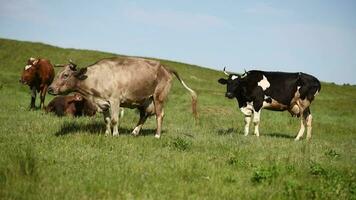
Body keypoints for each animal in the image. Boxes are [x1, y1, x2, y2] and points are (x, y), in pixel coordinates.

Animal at [46, 56, 197, 138]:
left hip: (158, 97)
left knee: (159, 115)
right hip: (145, 100)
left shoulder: (115, 100)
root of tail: (165, 67)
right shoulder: (103, 103)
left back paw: (157, 135)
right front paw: (107, 134)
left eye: (65, 75)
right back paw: (134, 132)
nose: (50, 89)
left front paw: (115, 134)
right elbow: (107, 120)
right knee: (144, 115)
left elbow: (114, 119)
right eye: (58, 73)